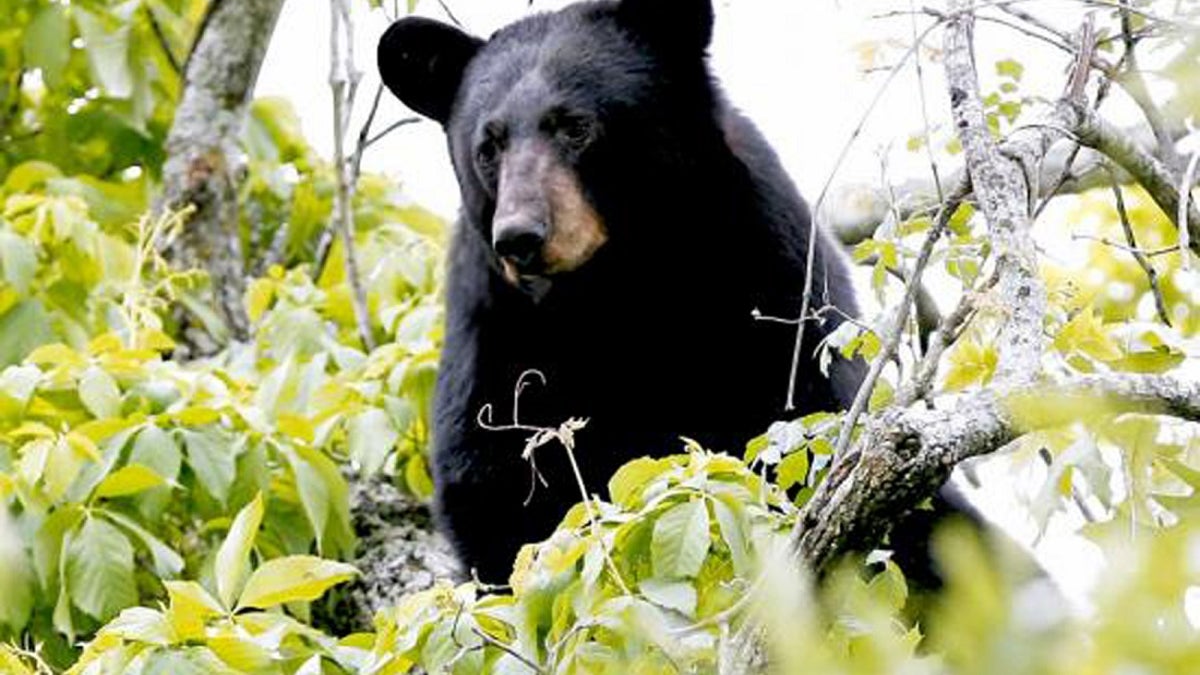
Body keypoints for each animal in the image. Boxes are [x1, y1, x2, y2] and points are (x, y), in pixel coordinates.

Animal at [374, 0, 864, 578]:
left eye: (575, 126)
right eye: (488, 146)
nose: (519, 237)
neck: (615, 291)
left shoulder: (767, 272)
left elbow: (804, 415)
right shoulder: (494, 331)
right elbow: (492, 488)